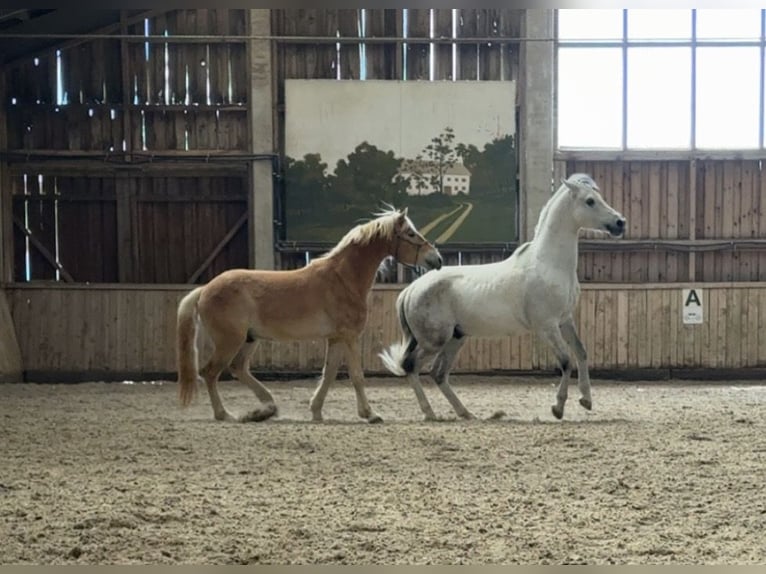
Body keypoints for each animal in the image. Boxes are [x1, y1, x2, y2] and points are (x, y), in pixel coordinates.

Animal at [176, 207, 442, 424]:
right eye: (410, 233)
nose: (437, 259)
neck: (343, 279)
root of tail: (204, 289)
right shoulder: (349, 336)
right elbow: (356, 376)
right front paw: (370, 414)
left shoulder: (335, 338)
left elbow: (329, 374)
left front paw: (316, 411)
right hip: (230, 341)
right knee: (210, 373)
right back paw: (225, 414)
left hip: (249, 339)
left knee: (238, 368)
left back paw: (267, 407)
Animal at [379, 173, 626, 421]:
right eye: (590, 201)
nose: (620, 223)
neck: (549, 264)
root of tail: (411, 290)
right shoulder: (547, 326)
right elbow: (566, 361)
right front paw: (558, 408)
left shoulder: (565, 320)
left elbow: (581, 352)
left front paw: (586, 400)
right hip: (434, 341)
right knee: (412, 366)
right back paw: (430, 413)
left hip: (456, 338)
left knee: (438, 373)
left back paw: (466, 413)